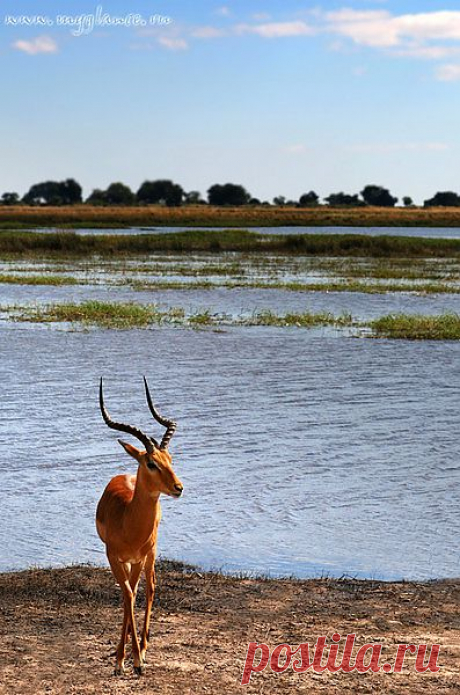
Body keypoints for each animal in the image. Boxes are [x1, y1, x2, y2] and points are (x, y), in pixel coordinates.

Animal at [95, 378, 183, 676]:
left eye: (170, 459)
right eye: (151, 462)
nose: (178, 487)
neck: (128, 521)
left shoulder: (139, 557)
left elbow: (134, 594)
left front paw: (136, 659)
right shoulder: (114, 557)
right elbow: (127, 596)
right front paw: (121, 659)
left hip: (149, 556)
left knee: (151, 587)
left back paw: (143, 647)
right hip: (130, 561)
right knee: (132, 594)